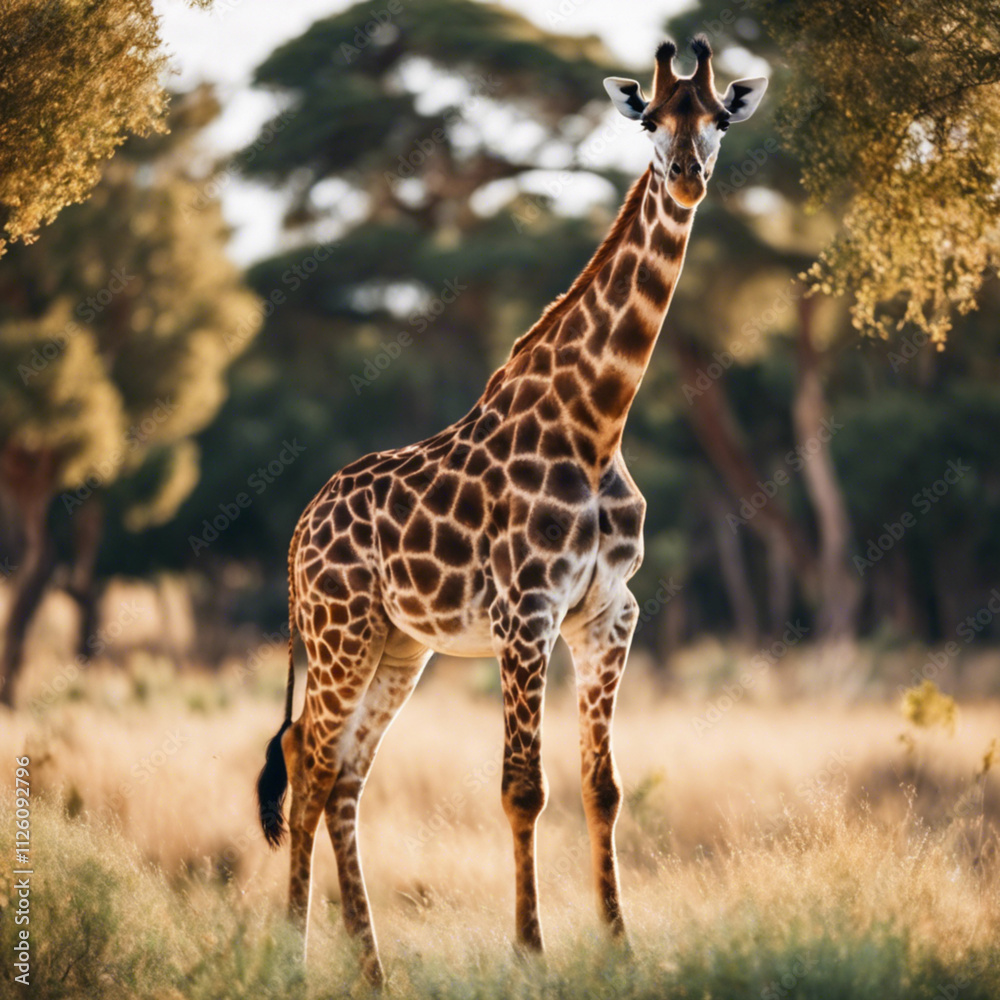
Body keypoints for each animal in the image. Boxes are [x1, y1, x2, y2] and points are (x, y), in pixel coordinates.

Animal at [257, 36, 766, 985]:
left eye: (717, 117)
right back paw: (294, 963)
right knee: (307, 763)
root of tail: (298, 533)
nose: (685, 177)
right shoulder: (524, 613)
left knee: (342, 775)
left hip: (398, 646)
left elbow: (603, 788)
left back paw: (373, 970)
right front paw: (531, 954)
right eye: (650, 118)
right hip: (341, 634)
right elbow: (522, 789)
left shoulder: (608, 613)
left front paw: (620, 947)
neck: (598, 424)